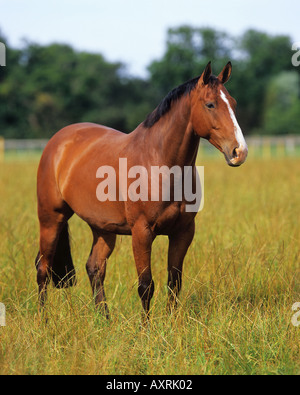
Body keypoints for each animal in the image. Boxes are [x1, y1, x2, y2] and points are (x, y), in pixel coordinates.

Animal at [35, 62, 247, 322]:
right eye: (210, 104)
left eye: (233, 103)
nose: (239, 151)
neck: (158, 162)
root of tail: (58, 140)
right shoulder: (142, 231)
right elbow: (146, 285)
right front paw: (146, 329)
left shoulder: (183, 232)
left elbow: (174, 282)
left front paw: (171, 324)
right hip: (51, 218)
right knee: (43, 268)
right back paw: (43, 319)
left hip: (103, 229)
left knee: (95, 268)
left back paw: (105, 320)